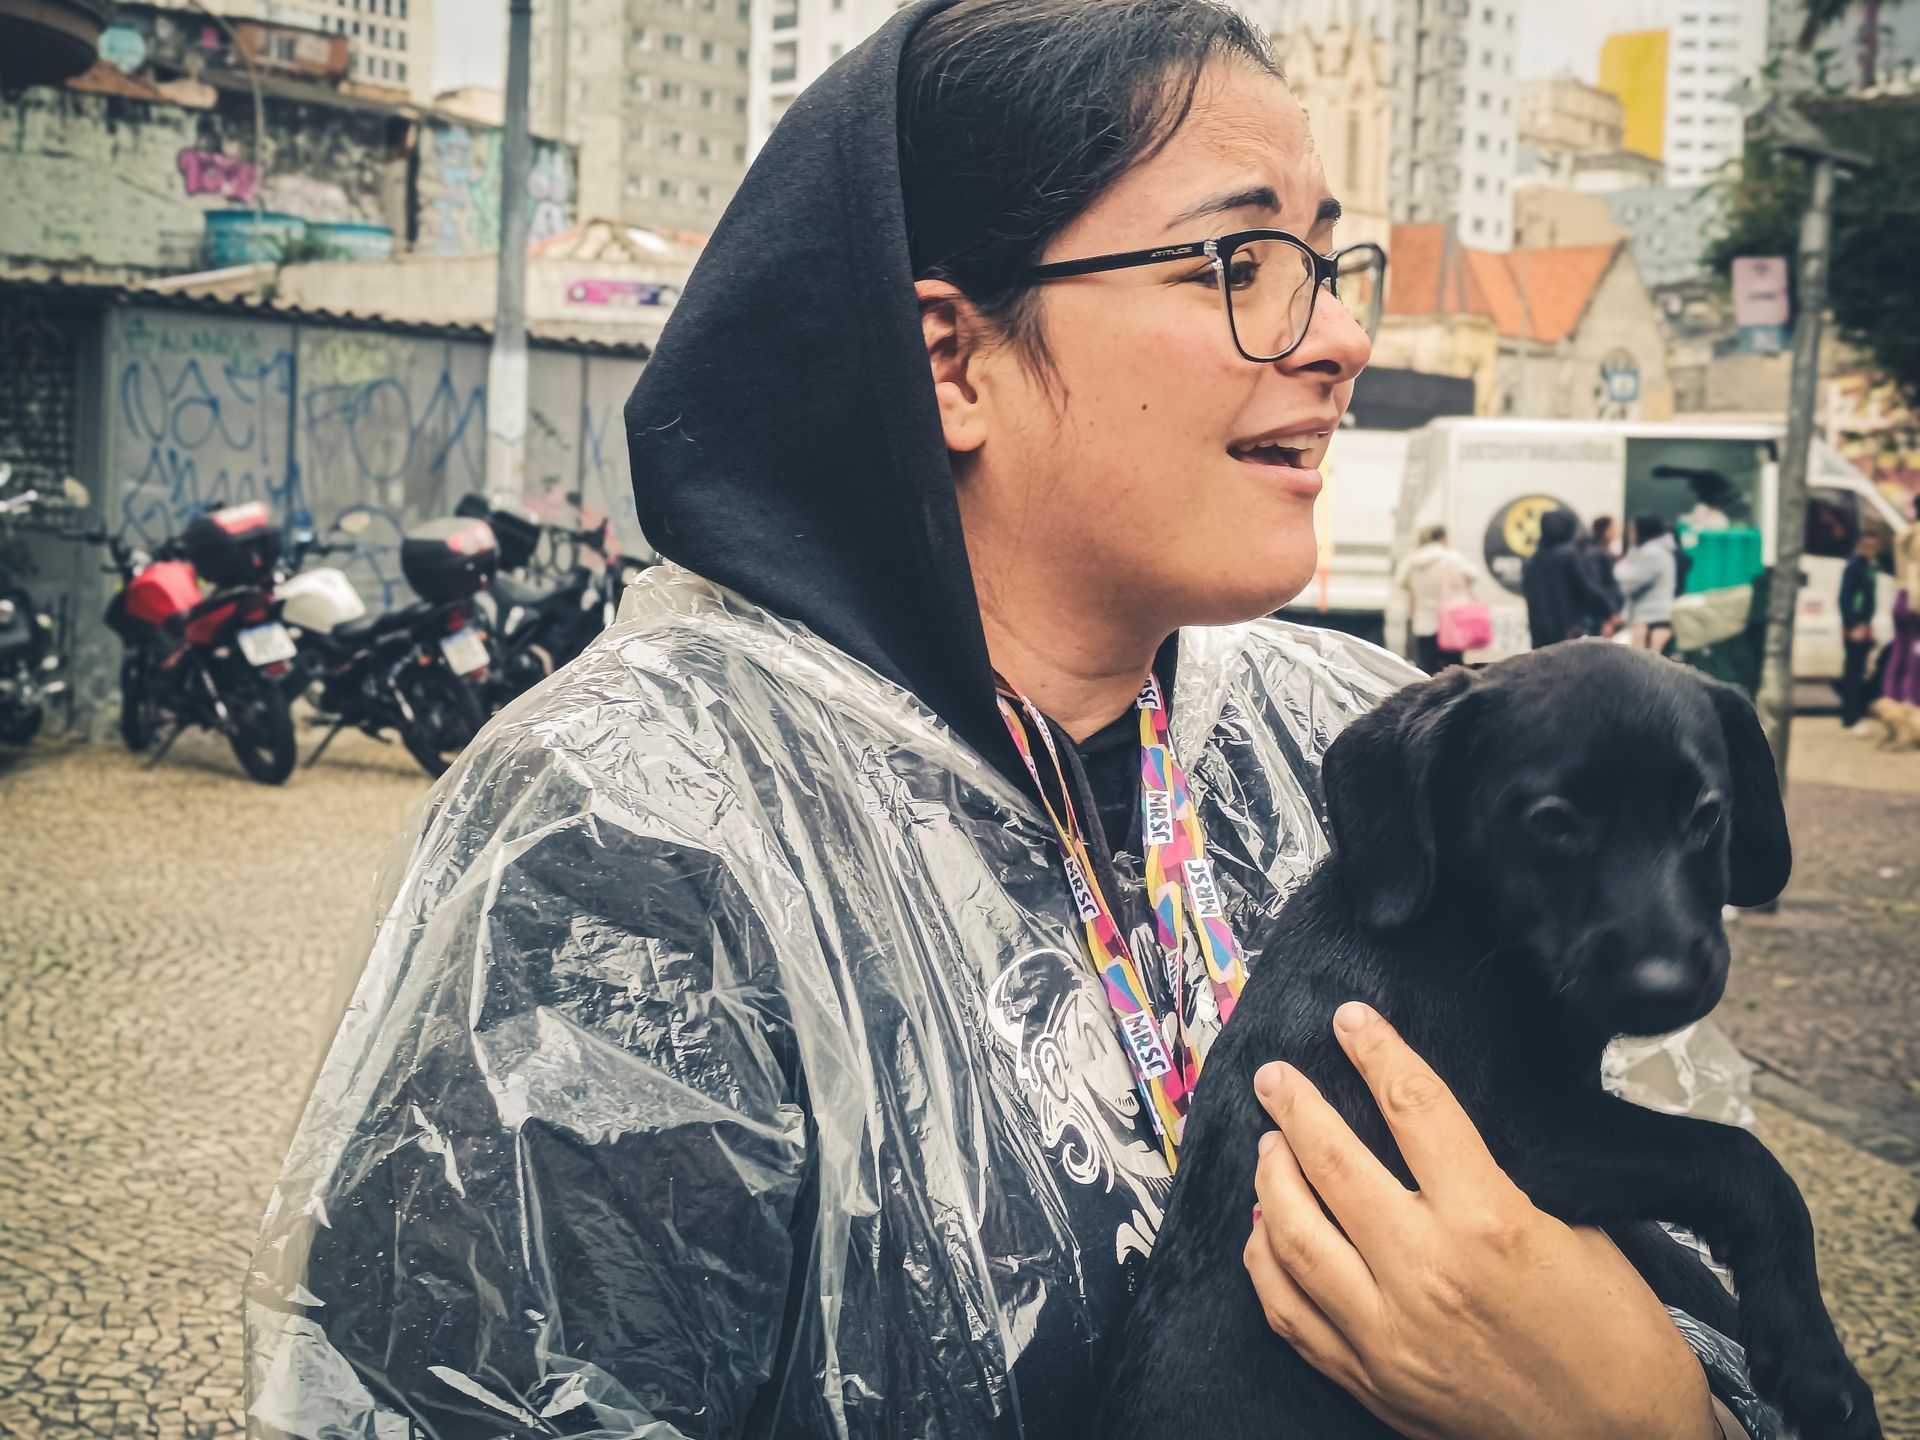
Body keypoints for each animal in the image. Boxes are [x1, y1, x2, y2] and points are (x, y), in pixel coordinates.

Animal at [1102, 641, 1879, 1440]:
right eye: (1553, 822)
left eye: (1708, 815)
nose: (1665, 985)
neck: (1470, 933)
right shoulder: (1525, 1141)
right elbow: (1741, 1163)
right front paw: (1816, 1364)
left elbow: (1675, 1254)